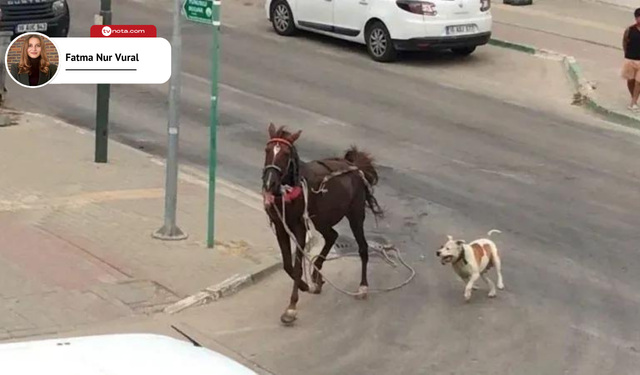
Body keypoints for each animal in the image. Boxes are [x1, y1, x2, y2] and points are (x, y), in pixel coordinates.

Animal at [262, 124, 382, 326]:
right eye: (267, 150)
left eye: (285, 153)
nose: (270, 183)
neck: (290, 189)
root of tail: (356, 167)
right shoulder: (280, 226)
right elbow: (287, 265)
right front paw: (304, 285)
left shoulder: (300, 228)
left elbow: (296, 266)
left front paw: (291, 308)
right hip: (321, 219)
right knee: (332, 236)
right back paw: (316, 277)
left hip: (355, 215)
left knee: (362, 247)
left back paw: (363, 287)